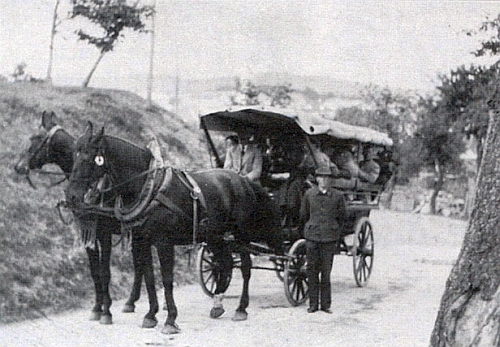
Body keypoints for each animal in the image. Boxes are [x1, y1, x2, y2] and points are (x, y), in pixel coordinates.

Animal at [14, 113, 163, 328]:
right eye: (75, 155)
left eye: (36, 138)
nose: (18, 166)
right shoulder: (88, 234)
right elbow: (95, 272)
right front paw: (97, 308)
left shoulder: (104, 234)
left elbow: (105, 272)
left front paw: (106, 311)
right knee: (140, 264)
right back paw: (130, 301)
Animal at [65, 122, 286, 334]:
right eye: (74, 154)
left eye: (89, 157)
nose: (72, 196)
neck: (149, 187)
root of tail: (244, 181)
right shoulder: (141, 241)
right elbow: (149, 278)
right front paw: (151, 315)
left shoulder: (164, 243)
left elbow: (166, 279)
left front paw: (170, 319)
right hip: (216, 236)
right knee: (226, 264)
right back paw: (217, 304)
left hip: (240, 236)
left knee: (246, 268)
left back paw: (241, 308)